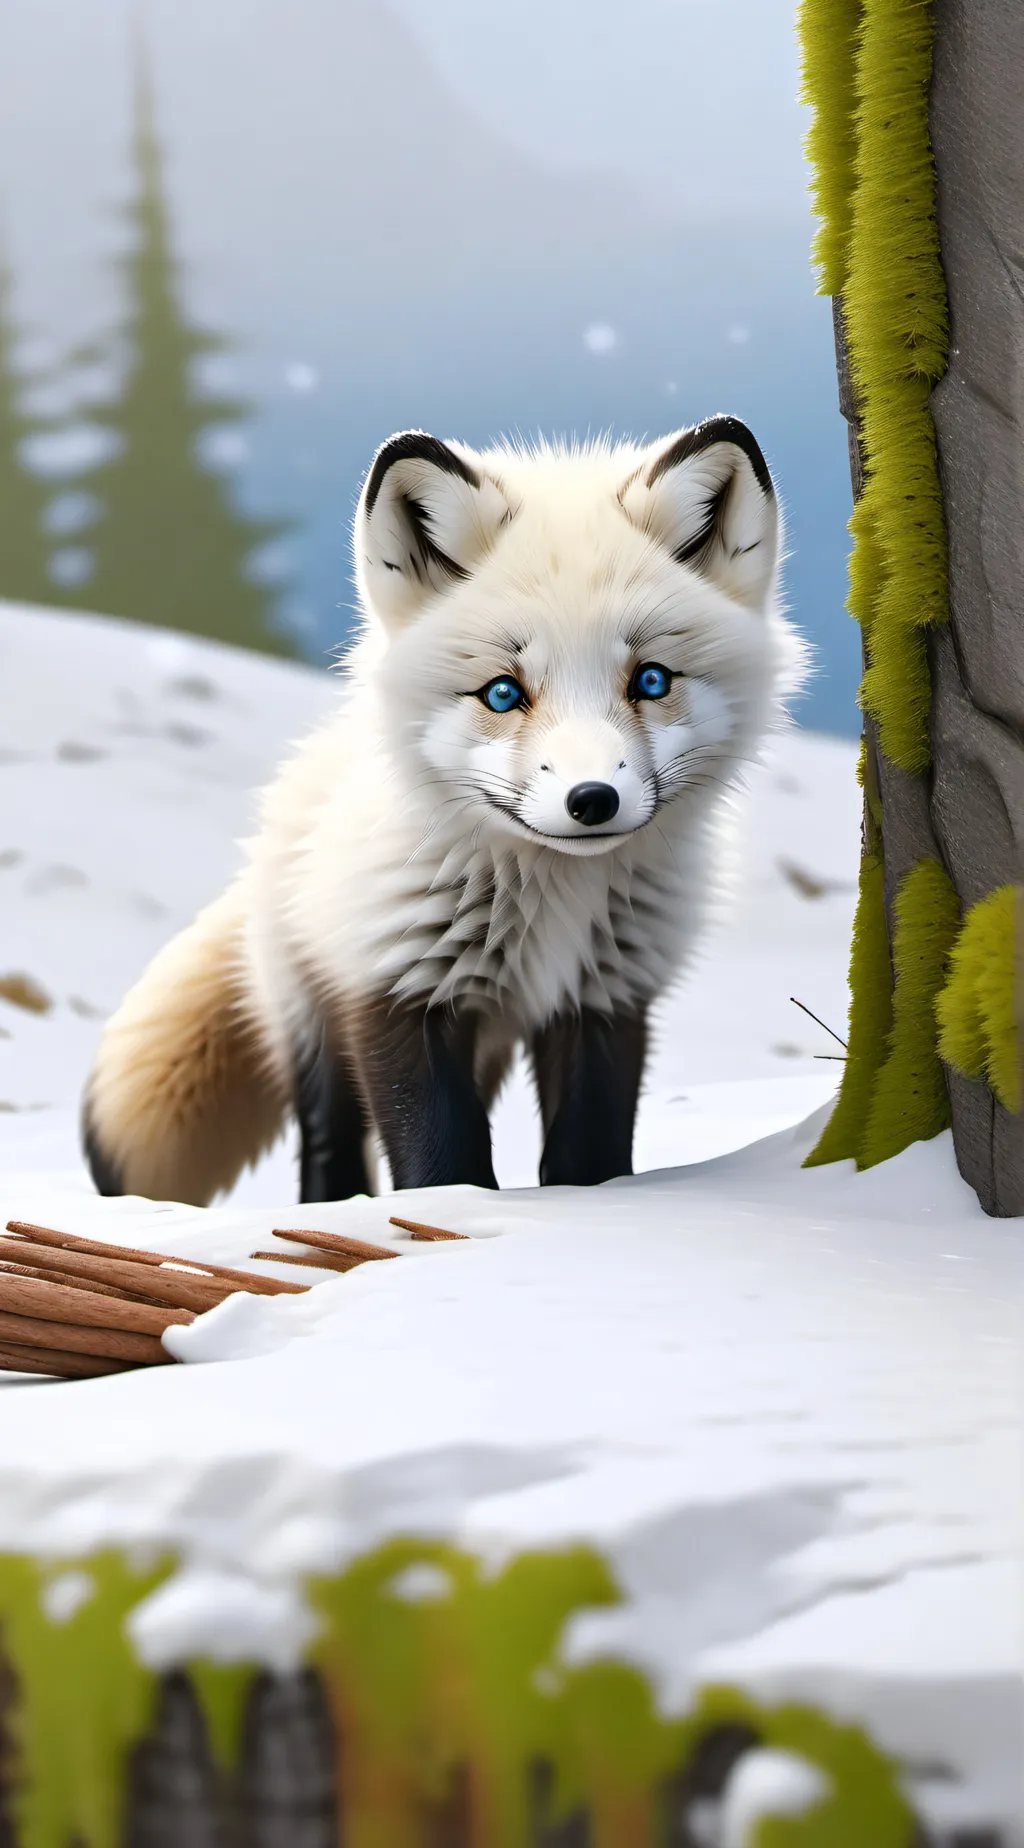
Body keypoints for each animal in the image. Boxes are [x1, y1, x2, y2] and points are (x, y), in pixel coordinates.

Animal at [83, 419, 801, 1207]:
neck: (551, 908)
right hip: (312, 1020)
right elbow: (440, 1170)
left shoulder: (605, 999)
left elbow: (589, 1161)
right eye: (502, 693)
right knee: (329, 1147)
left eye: (650, 680)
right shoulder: (399, 990)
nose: (591, 800)